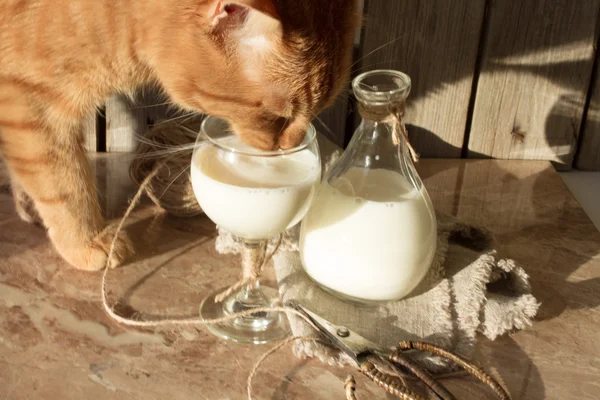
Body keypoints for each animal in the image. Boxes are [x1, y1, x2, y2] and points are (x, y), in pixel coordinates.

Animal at [0, 0, 358, 270]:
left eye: (318, 111)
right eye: (278, 119)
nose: (290, 147)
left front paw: (28, 203)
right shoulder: (31, 107)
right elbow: (66, 186)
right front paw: (87, 240)